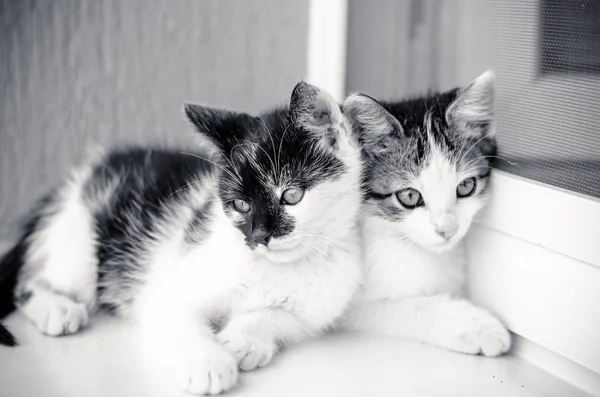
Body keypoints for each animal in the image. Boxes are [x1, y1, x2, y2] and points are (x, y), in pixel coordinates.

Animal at [0, 83, 364, 392]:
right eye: (241, 204)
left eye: (291, 195)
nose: (260, 236)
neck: (273, 267)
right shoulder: (169, 285)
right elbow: (178, 317)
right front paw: (209, 363)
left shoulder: (317, 308)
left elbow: (280, 317)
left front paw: (243, 340)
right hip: (79, 240)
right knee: (29, 284)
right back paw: (57, 308)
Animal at [342, 70, 510, 356]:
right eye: (409, 197)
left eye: (466, 186)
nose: (447, 230)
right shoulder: (348, 306)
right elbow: (407, 307)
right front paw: (478, 325)